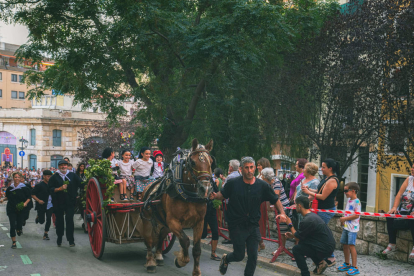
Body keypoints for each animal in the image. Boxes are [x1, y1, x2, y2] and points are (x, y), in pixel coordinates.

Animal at [139, 139, 213, 274]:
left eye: (211, 161)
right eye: (193, 162)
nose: (205, 188)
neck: (188, 195)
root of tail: (148, 187)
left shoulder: (199, 222)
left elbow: (197, 249)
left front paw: (196, 272)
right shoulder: (173, 221)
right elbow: (185, 241)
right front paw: (181, 260)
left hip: (164, 222)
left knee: (161, 236)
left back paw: (158, 255)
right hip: (147, 219)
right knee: (149, 240)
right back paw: (151, 262)